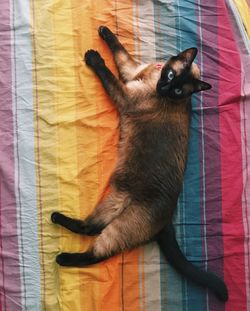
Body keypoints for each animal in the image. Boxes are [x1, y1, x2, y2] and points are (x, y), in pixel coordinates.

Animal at [51, 25, 229, 304]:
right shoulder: (131, 70)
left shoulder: (125, 94)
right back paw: (57, 218)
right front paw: (105, 31)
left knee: (96, 251)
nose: (164, 87)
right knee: (90, 227)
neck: (152, 77)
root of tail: (167, 219)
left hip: (121, 227)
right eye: (170, 75)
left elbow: (107, 74)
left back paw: (62, 257)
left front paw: (93, 58)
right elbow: (120, 50)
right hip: (112, 202)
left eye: (178, 91)